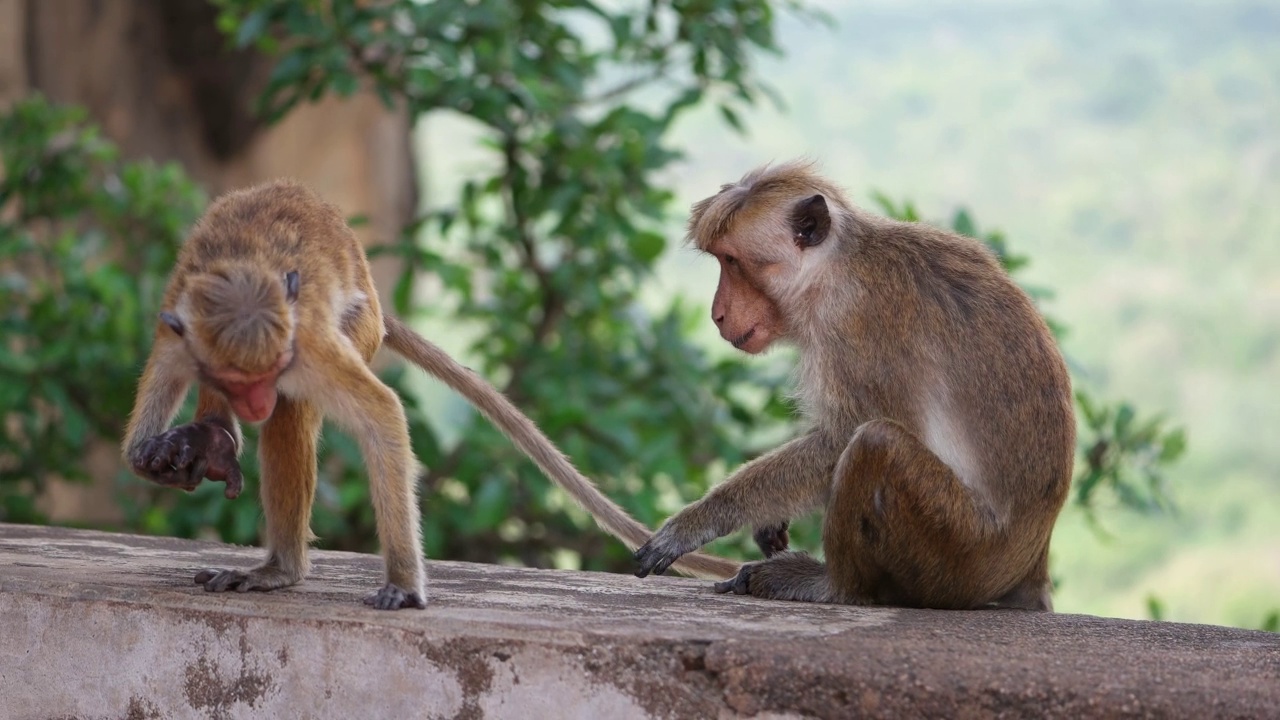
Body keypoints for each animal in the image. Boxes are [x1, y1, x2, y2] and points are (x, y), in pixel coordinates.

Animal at [124, 178, 742, 604]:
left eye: (267, 373)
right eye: (238, 380)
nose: (254, 401)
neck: (242, 259)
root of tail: (376, 300)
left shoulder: (307, 347)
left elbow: (380, 414)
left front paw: (402, 584)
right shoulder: (179, 330)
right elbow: (138, 442)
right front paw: (177, 448)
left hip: (357, 330)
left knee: (292, 417)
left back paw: (280, 566)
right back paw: (215, 438)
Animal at [634, 159, 1075, 607]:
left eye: (733, 261)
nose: (717, 315)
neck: (835, 267)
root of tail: (1031, 566)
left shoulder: (855, 324)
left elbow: (840, 438)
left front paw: (699, 520)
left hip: (963, 556)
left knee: (873, 442)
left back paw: (833, 586)